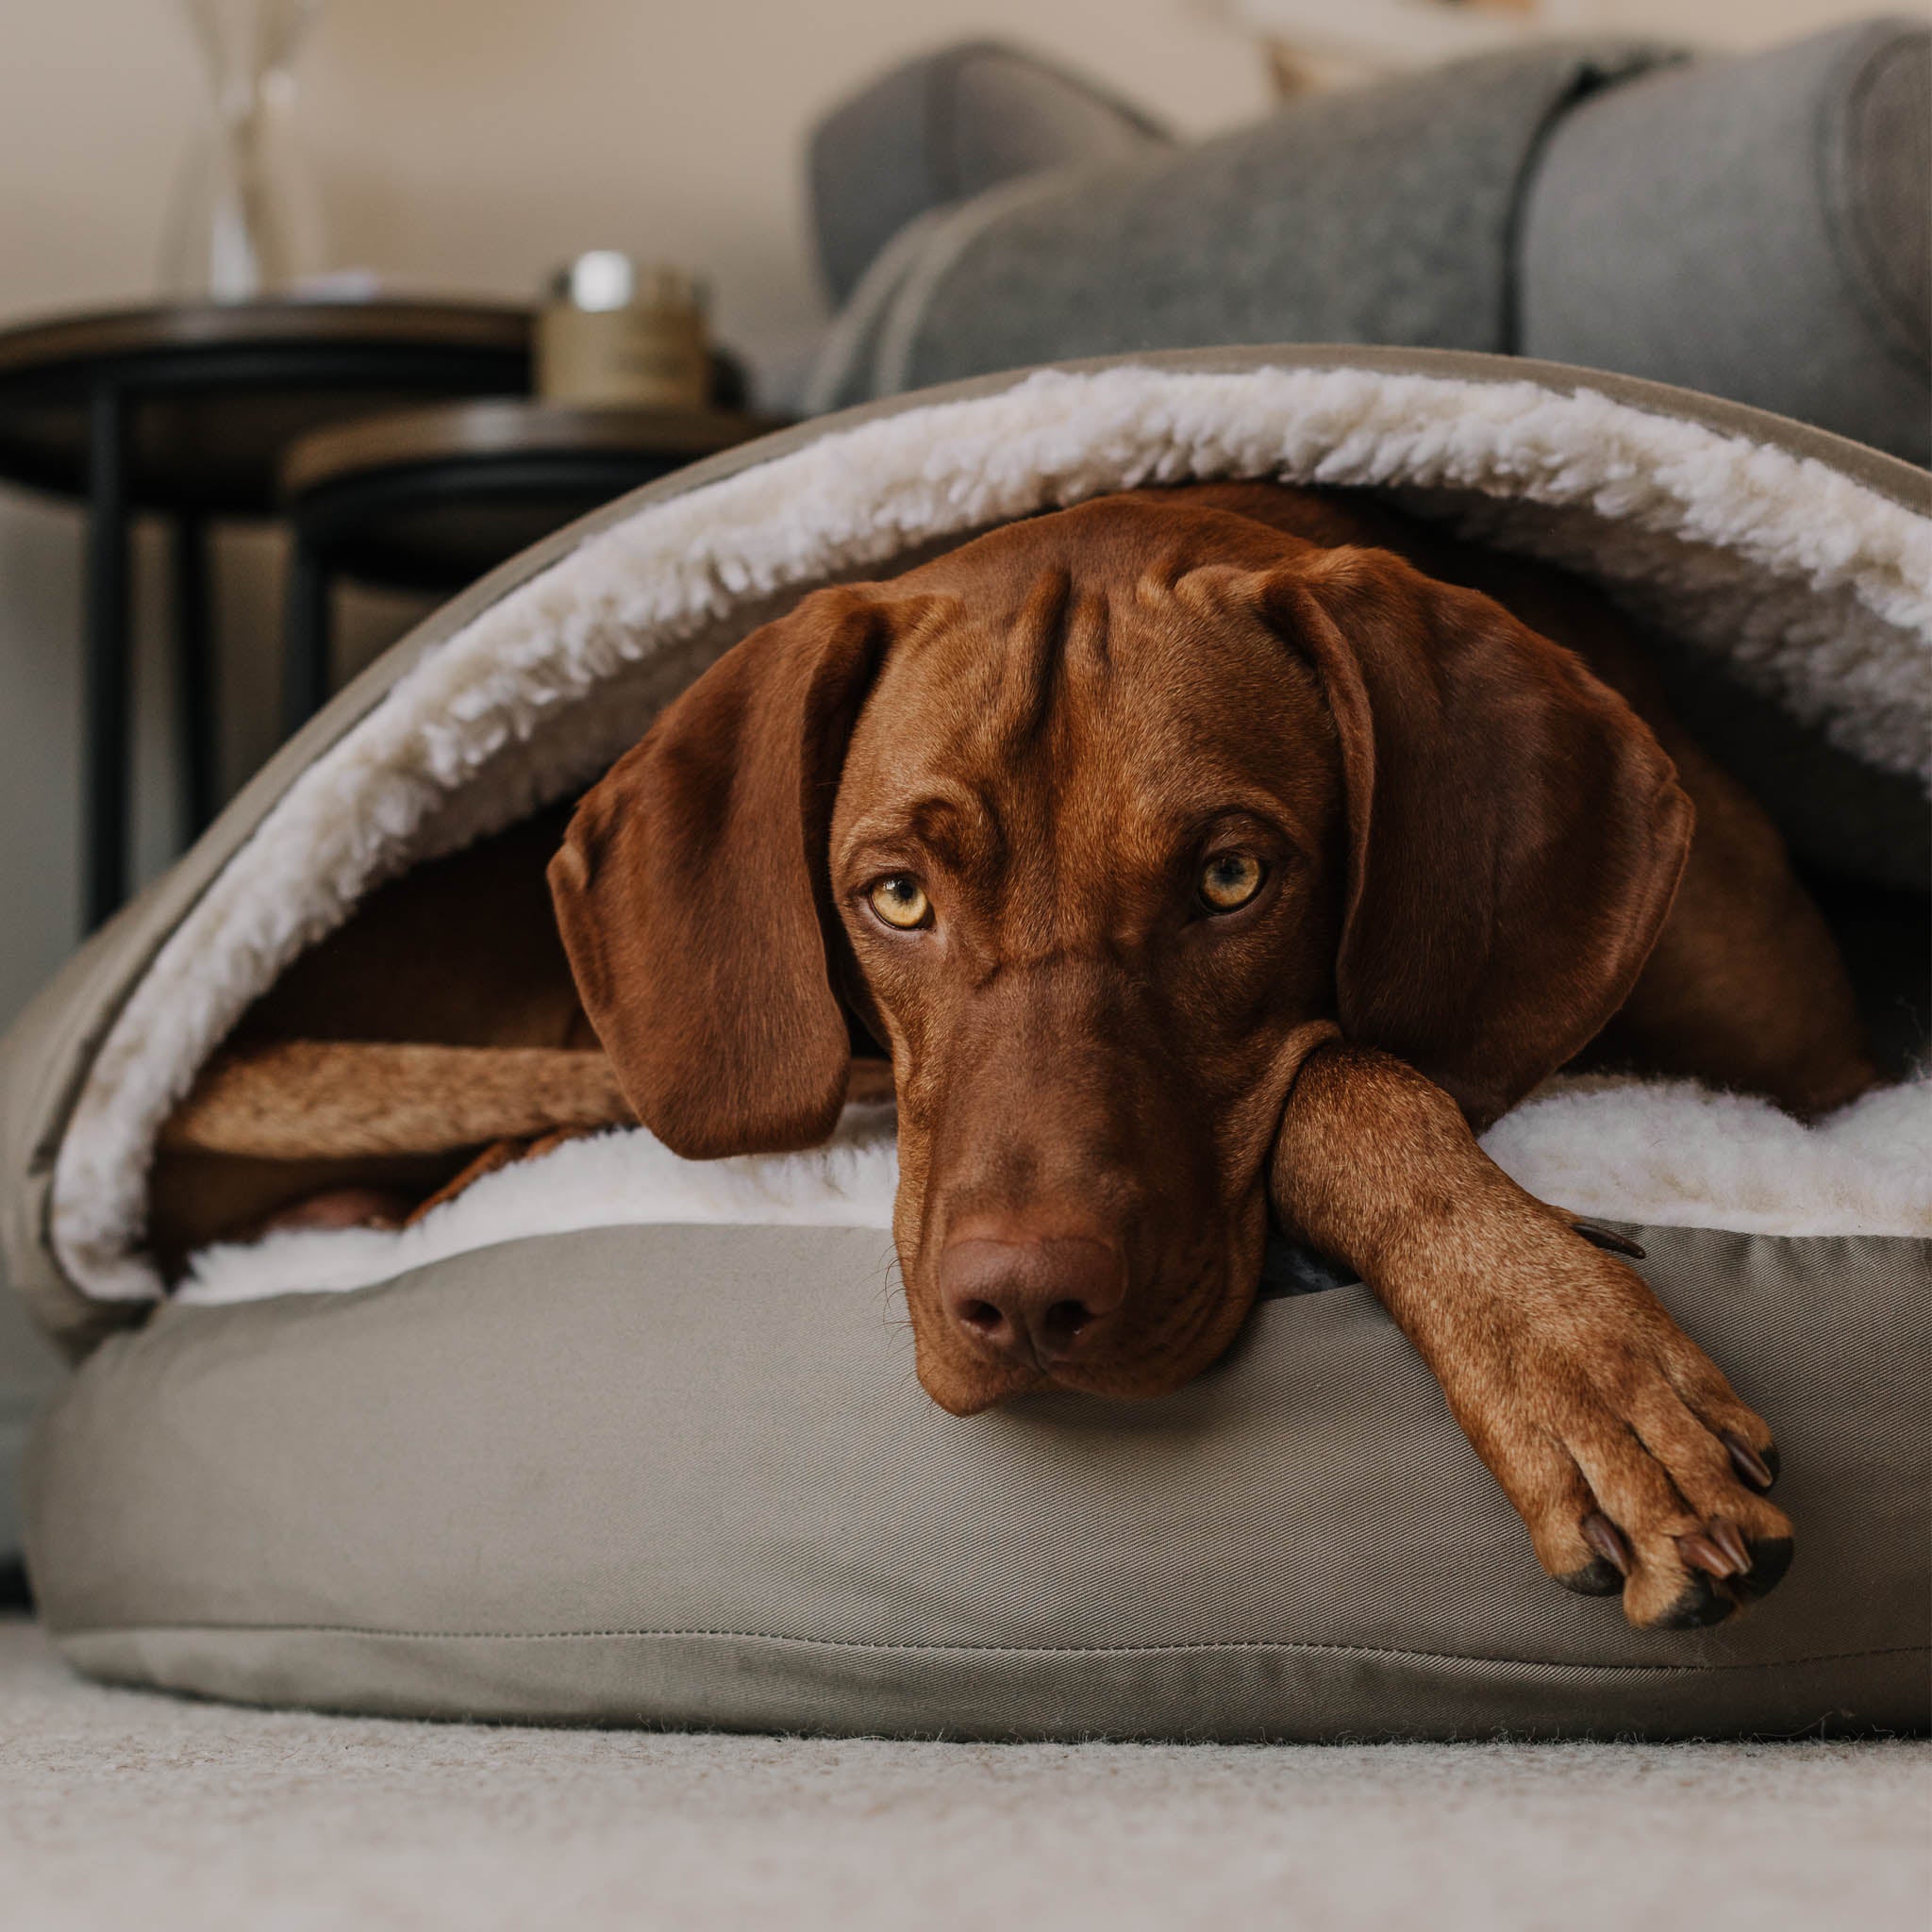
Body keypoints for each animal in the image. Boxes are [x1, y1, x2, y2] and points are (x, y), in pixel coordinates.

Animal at [177, 483, 1870, 1630]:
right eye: (897, 897)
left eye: (1232, 879)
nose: (1025, 1305)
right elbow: (1340, 1073)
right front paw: (1568, 1353)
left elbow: (1348, 1061)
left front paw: (1571, 1354)